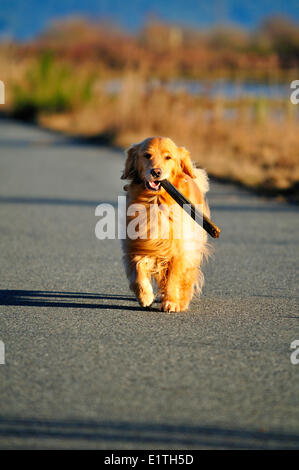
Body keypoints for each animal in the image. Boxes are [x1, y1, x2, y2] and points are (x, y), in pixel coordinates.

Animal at [121, 136, 211, 312]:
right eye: (147, 155)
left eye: (168, 157)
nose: (156, 172)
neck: (156, 200)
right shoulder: (139, 243)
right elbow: (138, 270)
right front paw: (145, 296)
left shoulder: (180, 250)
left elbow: (174, 277)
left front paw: (172, 302)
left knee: (187, 277)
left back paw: (182, 299)